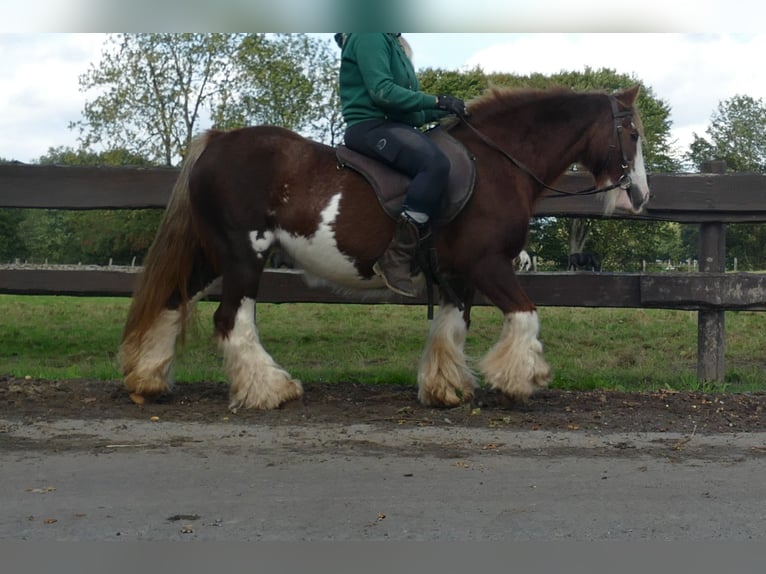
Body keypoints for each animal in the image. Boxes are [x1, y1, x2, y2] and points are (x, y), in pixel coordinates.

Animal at [123, 84, 652, 410]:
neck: (497, 164)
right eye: (631, 134)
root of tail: (217, 141)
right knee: (232, 320)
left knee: (171, 301)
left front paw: (445, 388)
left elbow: (450, 327)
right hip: (243, 256)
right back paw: (270, 389)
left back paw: (148, 379)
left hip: (214, 255)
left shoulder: (458, 275)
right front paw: (522, 379)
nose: (641, 197)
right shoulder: (488, 265)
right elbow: (525, 315)